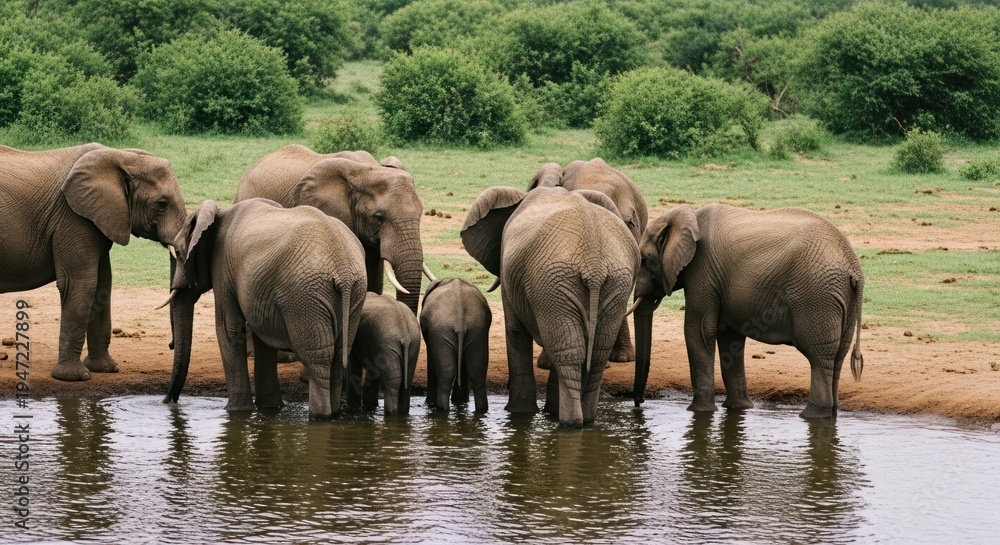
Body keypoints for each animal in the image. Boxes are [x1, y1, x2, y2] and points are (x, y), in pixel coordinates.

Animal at [0, 143, 186, 381]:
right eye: (162, 204)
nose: (171, 345)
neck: (122, 156)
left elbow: (102, 286)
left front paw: (106, 369)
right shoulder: (72, 217)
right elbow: (82, 284)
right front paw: (73, 377)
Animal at [161, 198, 367, 420]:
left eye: (179, 253)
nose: (168, 402)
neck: (219, 214)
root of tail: (343, 269)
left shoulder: (222, 266)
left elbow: (228, 329)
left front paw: (235, 412)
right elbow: (262, 336)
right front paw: (269, 409)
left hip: (304, 295)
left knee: (319, 361)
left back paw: (320, 418)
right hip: (353, 293)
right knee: (338, 357)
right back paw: (334, 416)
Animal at [420, 277, 492, 413]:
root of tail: (460, 319)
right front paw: (460, 401)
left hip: (442, 329)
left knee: (446, 373)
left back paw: (441, 408)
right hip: (477, 329)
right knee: (477, 371)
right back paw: (480, 410)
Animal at [461, 186, 639, 426]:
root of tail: (593, 263)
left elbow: (516, 333)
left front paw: (519, 412)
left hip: (554, 283)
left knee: (570, 354)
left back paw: (569, 423)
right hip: (607, 283)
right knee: (590, 354)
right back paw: (585, 421)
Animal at [631, 203, 865, 419]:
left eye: (645, 260)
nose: (639, 403)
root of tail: (854, 268)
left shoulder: (702, 272)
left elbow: (698, 330)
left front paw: (699, 411)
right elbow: (729, 337)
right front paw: (738, 408)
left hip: (816, 296)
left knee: (819, 357)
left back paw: (812, 416)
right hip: (841, 299)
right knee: (837, 356)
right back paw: (831, 416)